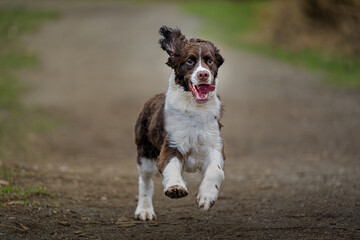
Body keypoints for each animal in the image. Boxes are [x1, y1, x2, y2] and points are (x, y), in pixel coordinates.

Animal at [135, 25, 225, 219]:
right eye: (189, 61)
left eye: (210, 60)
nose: (203, 74)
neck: (195, 109)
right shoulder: (172, 144)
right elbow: (170, 165)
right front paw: (175, 188)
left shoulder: (215, 144)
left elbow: (215, 170)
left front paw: (206, 198)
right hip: (144, 153)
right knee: (145, 182)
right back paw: (144, 211)